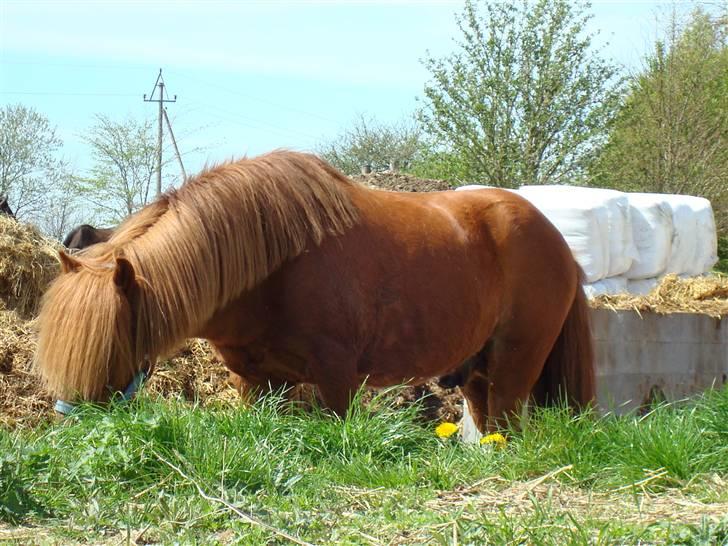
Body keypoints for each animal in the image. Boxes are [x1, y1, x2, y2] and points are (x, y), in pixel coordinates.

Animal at [35, 149, 592, 430]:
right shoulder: (255, 382)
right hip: (477, 371)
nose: (70, 428)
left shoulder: (338, 379)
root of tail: (557, 239)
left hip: (514, 366)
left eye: (109, 347)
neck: (271, 269)